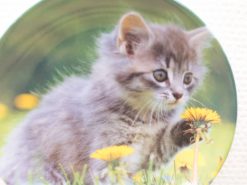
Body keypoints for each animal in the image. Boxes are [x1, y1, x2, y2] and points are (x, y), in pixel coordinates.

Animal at [0, 12, 210, 184]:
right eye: (160, 75)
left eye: (187, 78)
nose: (178, 94)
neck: (145, 116)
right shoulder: (108, 154)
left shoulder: (148, 155)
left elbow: (165, 144)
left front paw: (190, 128)